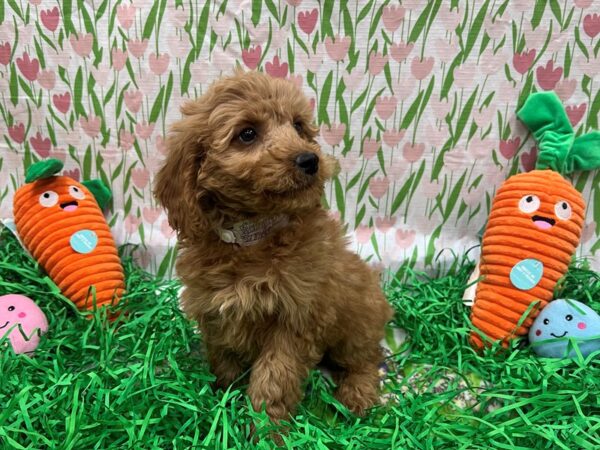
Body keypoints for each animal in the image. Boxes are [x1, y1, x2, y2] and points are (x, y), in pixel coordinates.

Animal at [154, 69, 394, 422]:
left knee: (365, 357)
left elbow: (273, 379)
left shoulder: (294, 320)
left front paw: (266, 426)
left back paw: (356, 395)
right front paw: (222, 400)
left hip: (358, 318)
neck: (252, 235)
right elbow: (223, 361)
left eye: (298, 126)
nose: (310, 160)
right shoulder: (214, 311)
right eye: (247, 134)